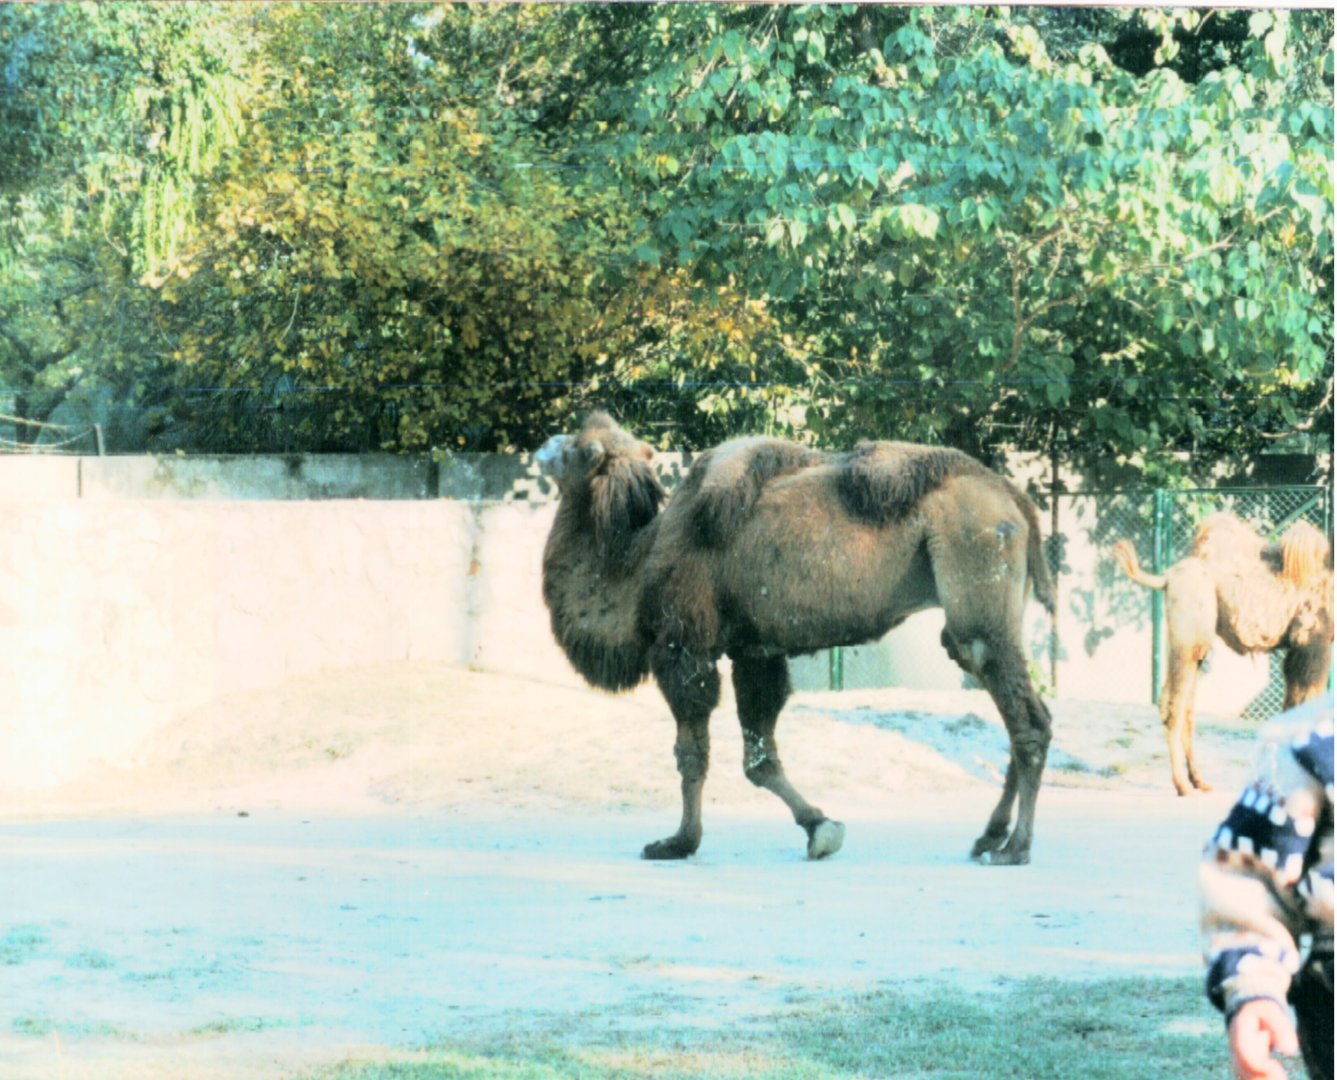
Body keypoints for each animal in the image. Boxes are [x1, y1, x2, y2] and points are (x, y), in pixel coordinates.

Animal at [537, 410, 1056, 865]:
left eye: (580, 449)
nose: (545, 446)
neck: (639, 559)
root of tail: (1015, 500)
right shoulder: (754, 651)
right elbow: (760, 758)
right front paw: (820, 827)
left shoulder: (683, 646)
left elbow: (692, 753)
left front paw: (677, 842)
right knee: (1022, 713)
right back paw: (989, 837)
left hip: (977, 584)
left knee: (1024, 716)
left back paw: (1015, 848)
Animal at [1112, 513, 1333, 796]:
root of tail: (1167, 577)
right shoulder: (1312, 641)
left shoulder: (1298, 651)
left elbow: (1293, 706)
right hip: (1190, 636)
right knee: (1174, 706)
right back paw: (1182, 785)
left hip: (1196, 646)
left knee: (1186, 708)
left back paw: (1200, 781)